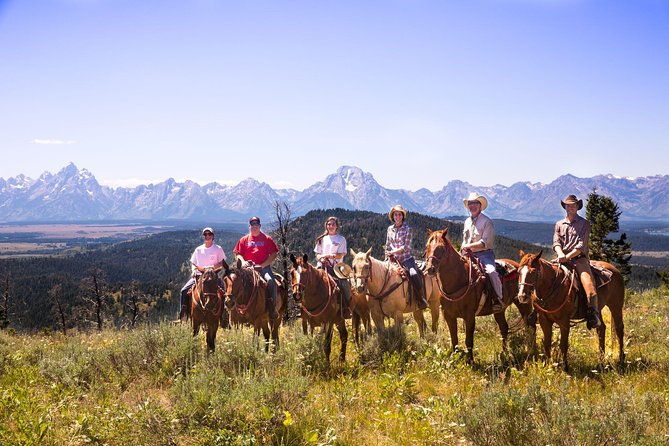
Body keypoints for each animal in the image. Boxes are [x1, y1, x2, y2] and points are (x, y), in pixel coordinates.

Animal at [422, 230, 532, 362]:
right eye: (427, 247)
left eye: (441, 248)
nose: (430, 269)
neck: (459, 280)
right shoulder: (449, 315)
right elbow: (454, 340)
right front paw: (455, 359)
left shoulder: (469, 316)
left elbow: (469, 341)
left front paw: (470, 361)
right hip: (499, 311)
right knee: (504, 328)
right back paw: (504, 353)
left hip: (523, 304)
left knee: (529, 326)